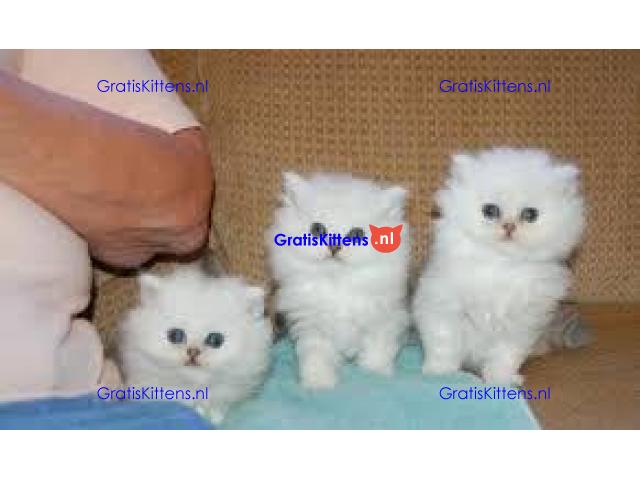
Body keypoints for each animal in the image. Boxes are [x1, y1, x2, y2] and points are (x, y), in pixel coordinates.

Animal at [266, 171, 411, 390]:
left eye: (357, 234)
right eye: (317, 229)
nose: (334, 246)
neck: (338, 284)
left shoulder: (384, 320)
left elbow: (377, 350)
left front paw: (374, 374)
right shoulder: (313, 327)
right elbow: (316, 357)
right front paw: (318, 383)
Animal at [413, 148, 586, 385]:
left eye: (530, 215)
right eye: (490, 210)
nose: (509, 226)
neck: (501, 265)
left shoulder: (521, 324)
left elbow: (505, 357)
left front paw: (501, 381)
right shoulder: (441, 307)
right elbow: (443, 344)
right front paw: (440, 373)